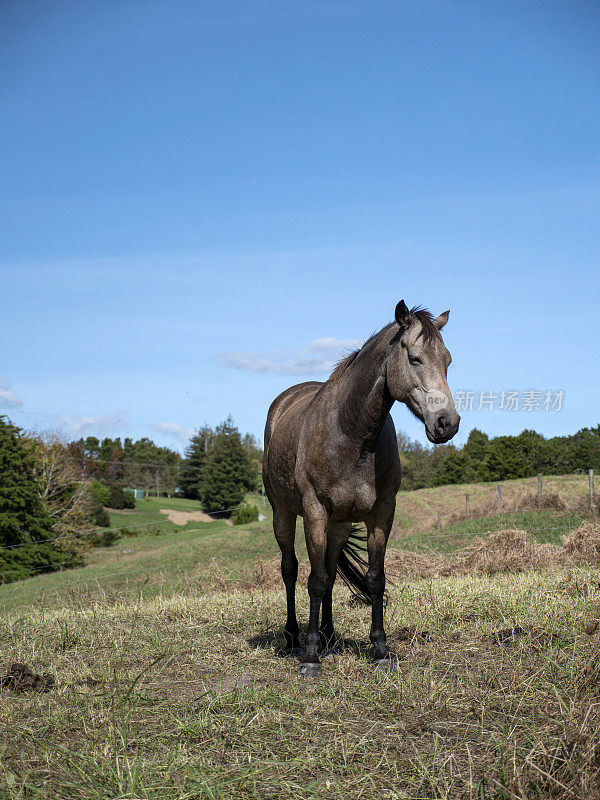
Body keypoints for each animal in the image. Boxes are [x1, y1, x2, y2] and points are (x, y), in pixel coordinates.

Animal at [262, 300, 460, 676]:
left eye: (448, 360)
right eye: (415, 358)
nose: (447, 423)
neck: (351, 433)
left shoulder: (381, 513)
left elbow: (373, 579)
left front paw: (380, 650)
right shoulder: (314, 513)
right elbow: (314, 580)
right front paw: (310, 658)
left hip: (340, 524)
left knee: (330, 571)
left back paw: (330, 639)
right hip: (283, 513)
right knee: (291, 570)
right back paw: (294, 639)